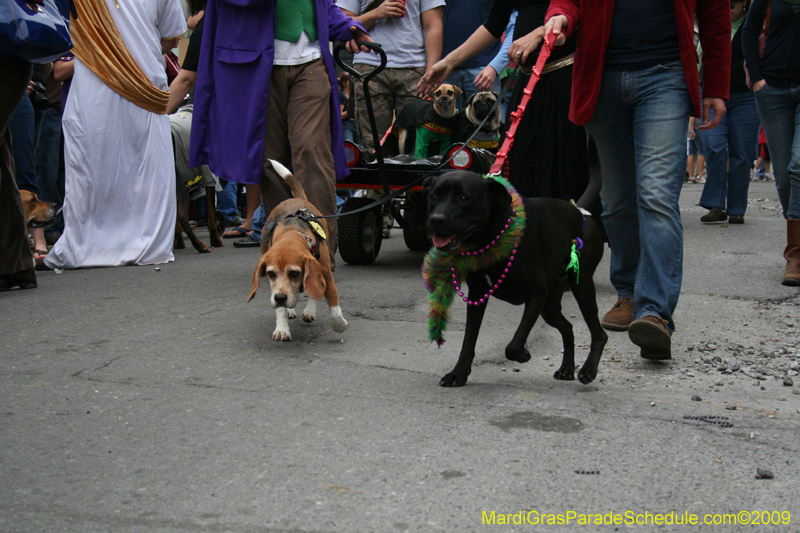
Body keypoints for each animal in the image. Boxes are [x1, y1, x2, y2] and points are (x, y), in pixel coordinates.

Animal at [247, 159, 346, 340]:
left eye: (294, 273)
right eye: (271, 273)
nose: (280, 298)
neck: (292, 233)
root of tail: (296, 199)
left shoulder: (326, 275)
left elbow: (333, 307)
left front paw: (339, 325)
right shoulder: (275, 285)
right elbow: (280, 308)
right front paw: (282, 328)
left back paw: (309, 310)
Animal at [424, 170, 608, 386]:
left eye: (463, 197)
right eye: (433, 196)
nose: (436, 219)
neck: (488, 239)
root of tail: (579, 211)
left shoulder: (537, 294)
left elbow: (513, 345)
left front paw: (523, 355)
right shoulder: (477, 296)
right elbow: (468, 340)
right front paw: (458, 374)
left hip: (581, 286)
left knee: (599, 334)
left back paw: (588, 371)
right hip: (550, 307)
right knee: (568, 329)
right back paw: (567, 369)